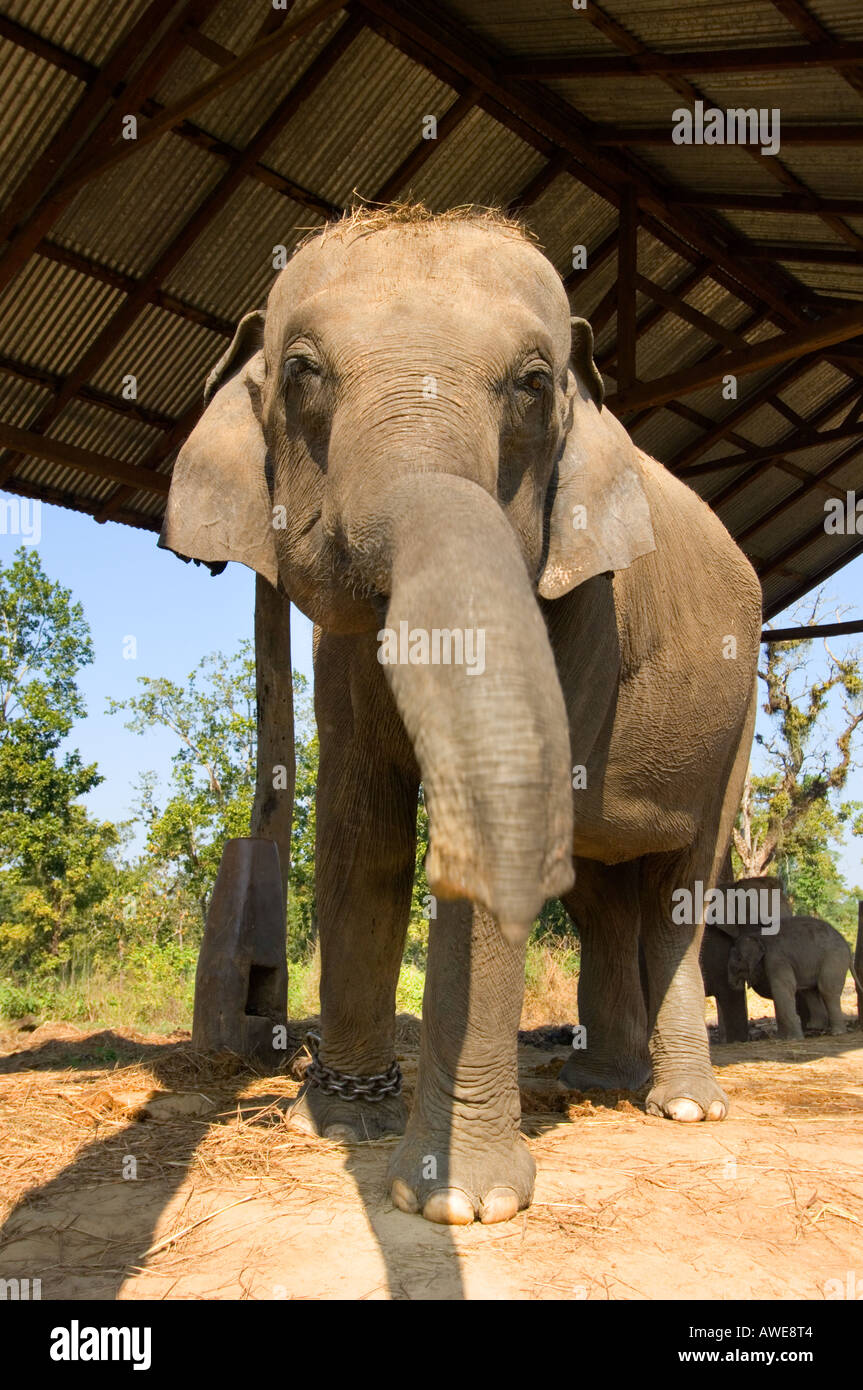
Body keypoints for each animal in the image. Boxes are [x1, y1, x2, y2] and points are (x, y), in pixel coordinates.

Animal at [158, 205, 755, 1228]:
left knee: (682, 885)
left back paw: (682, 1107)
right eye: (303, 371)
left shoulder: (587, 609)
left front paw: (460, 1205)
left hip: (739, 709)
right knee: (602, 898)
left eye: (533, 385)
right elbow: (360, 832)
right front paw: (338, 1123)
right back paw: (602, 1082)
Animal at [722, 917, 856, 1039]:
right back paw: (815, 1028)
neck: (758, 936)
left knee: (826, 989)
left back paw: (837, 1032)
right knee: (810, 991)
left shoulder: (776, 959)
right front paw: (780, 1038)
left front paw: (794, 1039)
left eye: (736, 967)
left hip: (834, 957)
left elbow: (782, 989)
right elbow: (777, 993)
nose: (733, 984)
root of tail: (847, 945)